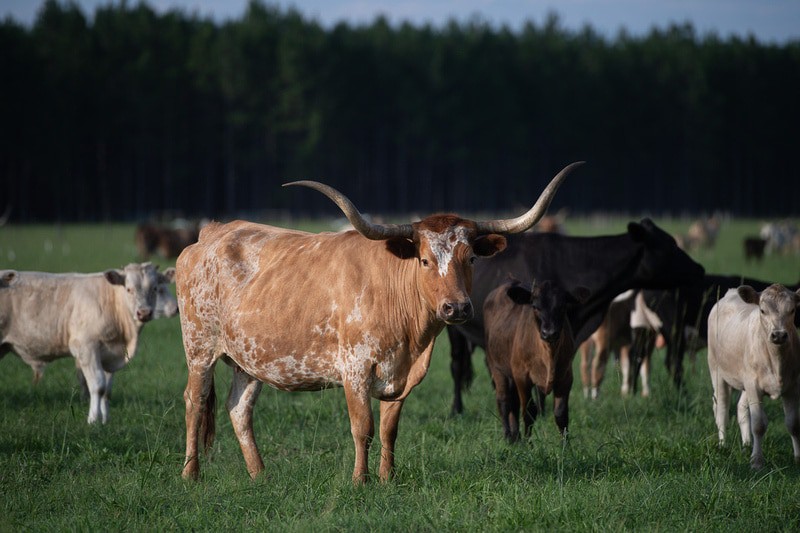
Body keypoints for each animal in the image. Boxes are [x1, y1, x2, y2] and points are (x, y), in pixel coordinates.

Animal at [0, 263, 174, 423]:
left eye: (154, 288)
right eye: (129, 289)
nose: (144, 313)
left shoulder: (109, 355)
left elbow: (107, 390)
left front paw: (105, 420)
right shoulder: (86, 347)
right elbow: (98, 385)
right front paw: (93, 420)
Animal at [484, 278, 588, 442]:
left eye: (562, 306)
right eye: (535, 306)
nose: (549, 333)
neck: (548, 353)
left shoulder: (566, 376)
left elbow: (561, 413)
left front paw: (566, 444)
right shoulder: (522, 376)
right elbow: (529, 411)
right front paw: (528, 442)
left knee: (513, 403)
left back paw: (515, 437)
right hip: (496, 368)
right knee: (504, 401)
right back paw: (508, 436)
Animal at [707, 284, 800, 468]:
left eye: (792, 310)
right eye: (763, 310)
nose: (779, 335)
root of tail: (730, 292)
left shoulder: (792, 387)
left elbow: (793, 424)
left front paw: (798, 459)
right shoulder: (754, 387)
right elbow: (758, 424)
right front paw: (757, 462)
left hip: (745, 383)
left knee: (741, 409)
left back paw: (746, 445)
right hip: (717, 371)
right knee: (721, 410)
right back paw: (723, 445)